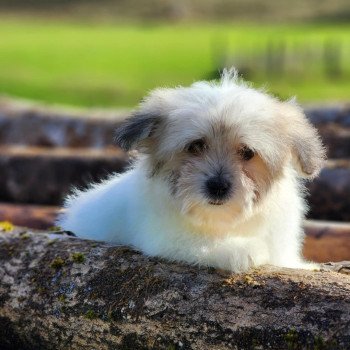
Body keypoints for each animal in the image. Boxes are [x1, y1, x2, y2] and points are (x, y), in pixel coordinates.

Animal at [58, 68, 326, 270]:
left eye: (248, 152)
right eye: (195, 146)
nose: (217, 186)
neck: (220, 220)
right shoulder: (167, 237)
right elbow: (198, 243)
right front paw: (240, 249)